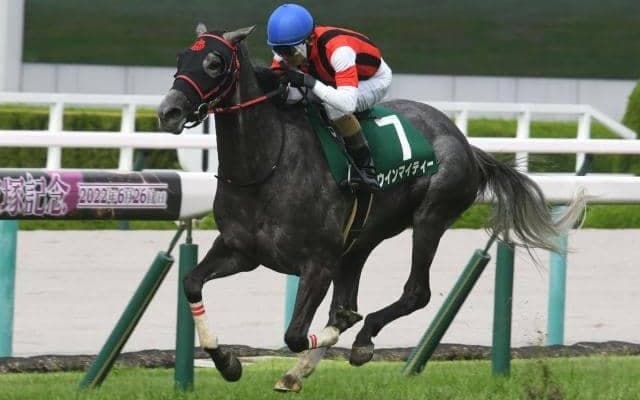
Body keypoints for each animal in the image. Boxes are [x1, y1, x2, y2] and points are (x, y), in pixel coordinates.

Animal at [157, 25, 584, 392]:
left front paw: (337, 334)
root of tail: (466, 143)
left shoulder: (318, 263)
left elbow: (298, 333)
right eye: (180, 58)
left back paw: (361, 341)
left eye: (214, 62)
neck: (267, 166)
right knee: (357, 291)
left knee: (416, 293)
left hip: (430, 218)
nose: (169, 112)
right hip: (361, 239)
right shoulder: (240, 250)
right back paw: (299, 371)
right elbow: (191, 283)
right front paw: (228, 362)